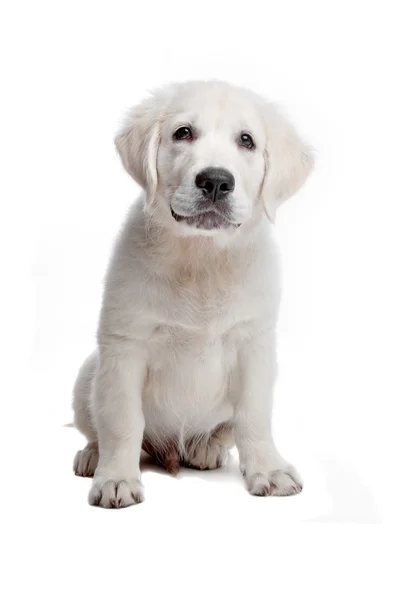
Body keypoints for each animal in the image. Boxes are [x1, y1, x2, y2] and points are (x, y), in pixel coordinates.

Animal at [73, 82, 314, 508]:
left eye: (247, 140)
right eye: (183, 133)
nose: (216, 181)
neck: (202, 258)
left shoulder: (255, 346)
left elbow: (254, 415)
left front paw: (268, 469)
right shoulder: (124, 347)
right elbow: (122, 421)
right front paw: (116, 478)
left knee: (223, 429)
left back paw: (205, 447)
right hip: (89, 373)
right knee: (99, 426)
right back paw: (93, 456)